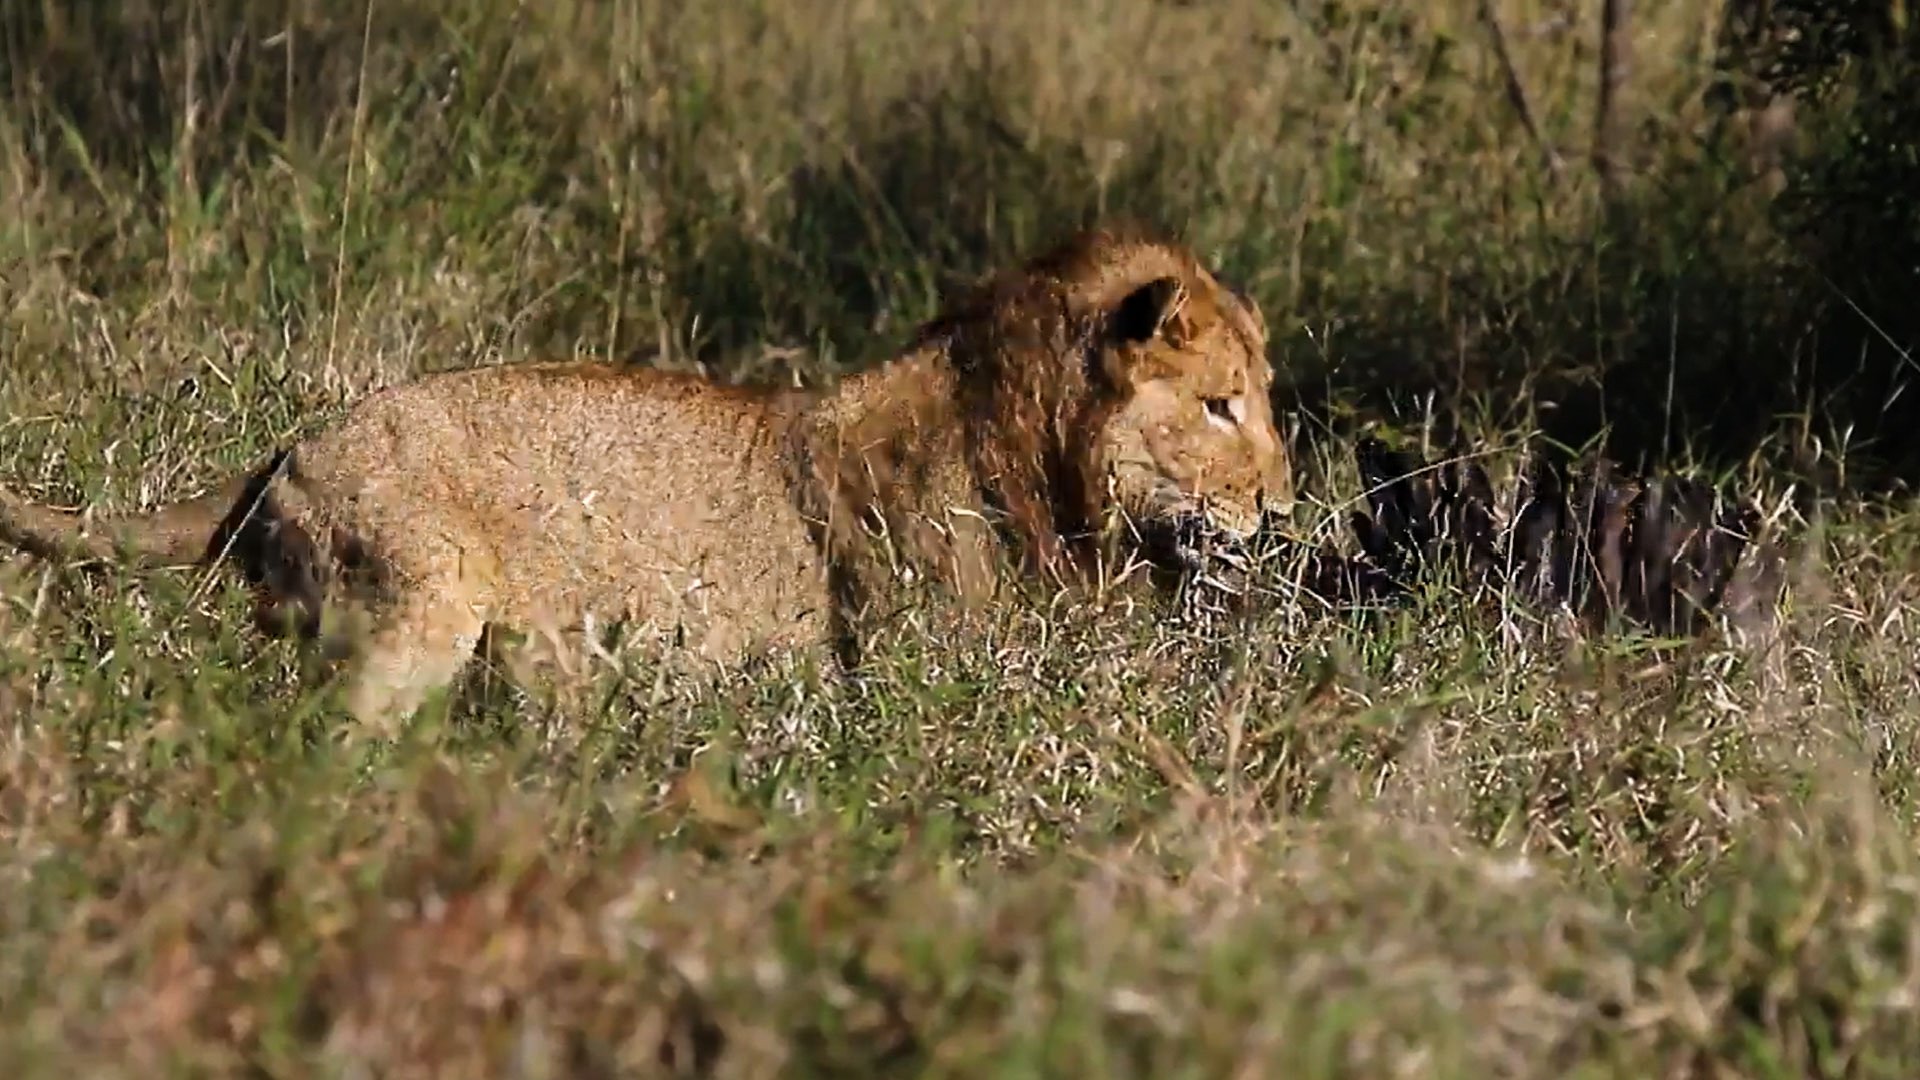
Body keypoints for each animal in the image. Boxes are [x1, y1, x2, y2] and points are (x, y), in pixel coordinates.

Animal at [0, 225, 1291, 728]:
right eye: (1219, 405)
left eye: (1265, 396)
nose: (1281, 509)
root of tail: (283, 452)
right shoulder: (942, 665)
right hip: (423, 596)